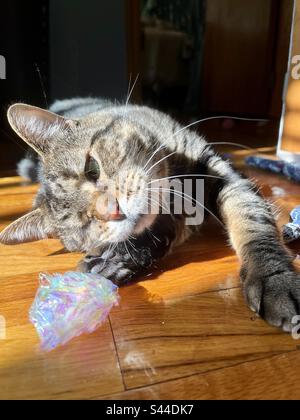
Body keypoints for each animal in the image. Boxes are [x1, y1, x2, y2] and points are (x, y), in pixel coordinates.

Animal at [0, 98, 300, 332]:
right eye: (86, 223)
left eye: (92, 168)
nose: (113, 211)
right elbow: (155, 234)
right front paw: (114, 260)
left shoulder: (220, 172)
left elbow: (252, 221)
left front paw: (274, 277)